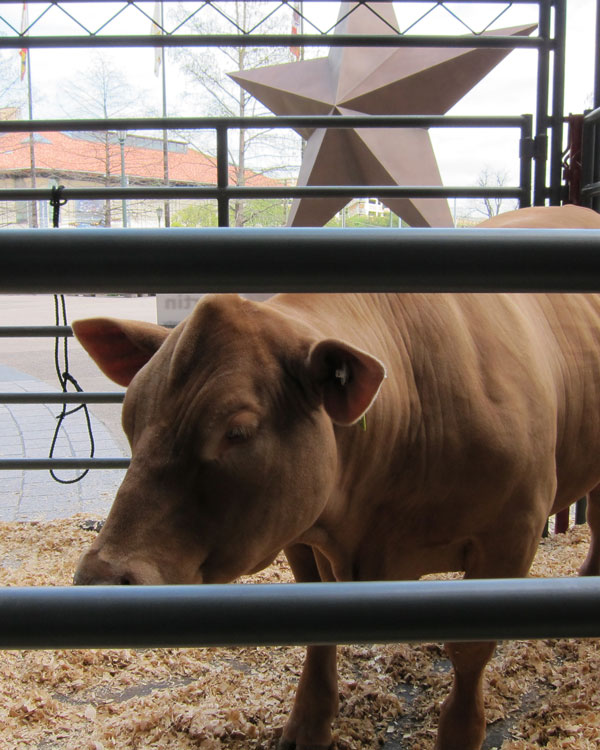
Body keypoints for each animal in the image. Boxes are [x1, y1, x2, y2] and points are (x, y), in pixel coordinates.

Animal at [74, 206, 600, 750]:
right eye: (130, 416)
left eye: (237, 431)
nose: (101, 577)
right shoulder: (300, 530)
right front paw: (308, 722)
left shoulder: (511, 534)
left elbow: (470, 652)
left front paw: (459, 732)